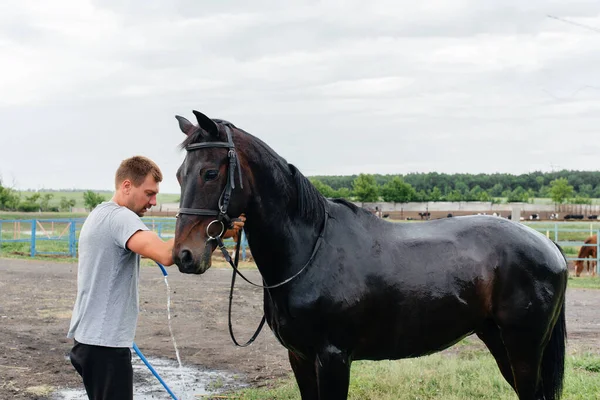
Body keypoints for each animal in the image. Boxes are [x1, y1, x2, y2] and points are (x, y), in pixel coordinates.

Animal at [171, 110, 564, 400]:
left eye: (210, 172)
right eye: (178, 175)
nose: (185, 255)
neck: (311, 251)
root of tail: (548, 246)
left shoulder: (333, 358)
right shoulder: (300, 358)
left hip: (523, 347)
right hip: (499, 340)